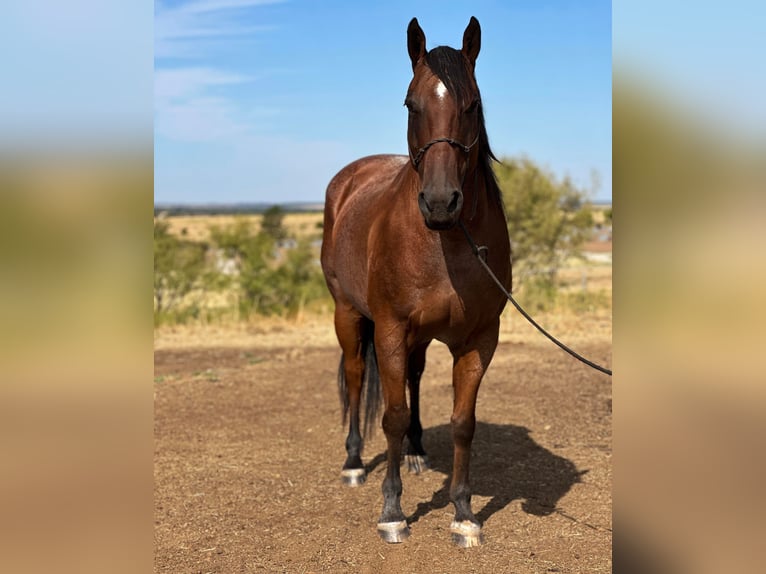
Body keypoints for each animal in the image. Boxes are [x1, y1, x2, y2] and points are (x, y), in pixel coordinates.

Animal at [320, 16, 512, 548]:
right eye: (411, 104)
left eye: (472, 104)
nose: (441, 203)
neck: (445, 244)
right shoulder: (388, 329)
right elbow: (392, 414)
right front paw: (392, 512)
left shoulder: (479, 339)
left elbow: (463, 422)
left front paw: (464, 513)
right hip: (348, 315)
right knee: (356, 376)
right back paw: (353, 461)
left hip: (419, 338)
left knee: (414, 376)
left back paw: (416, 452)